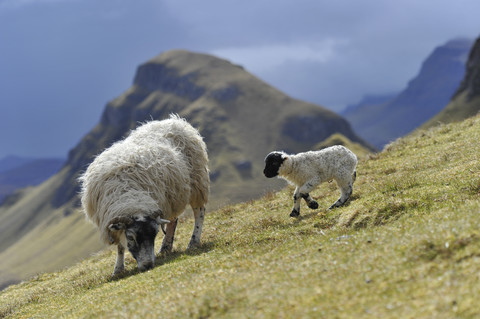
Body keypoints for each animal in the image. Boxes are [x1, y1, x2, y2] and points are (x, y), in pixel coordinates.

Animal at [79, 114, 210, 276]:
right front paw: (118, 269)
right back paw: (165, 247)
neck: (129, 195)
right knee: (173, 220)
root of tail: (175, 121)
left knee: (199, 212)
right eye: (131, 237)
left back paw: (193, 241)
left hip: (197, 181)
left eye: (154, 234)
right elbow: (120, 246)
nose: (148, 266)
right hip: (172, 195)